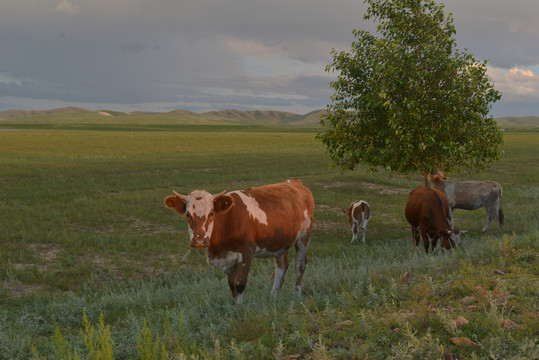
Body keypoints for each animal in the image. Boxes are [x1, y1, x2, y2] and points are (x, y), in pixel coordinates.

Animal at [165, 180, 316, 304]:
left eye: (212, 213)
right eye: (187, 214)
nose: (200, 240)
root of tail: (296, 182)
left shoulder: (246, 253)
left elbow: (240, 284)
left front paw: (239, 309)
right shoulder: (226, 259)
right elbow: (231, 285)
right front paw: (232, 307)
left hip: (304, 236)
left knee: (300, 264)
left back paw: (296, 295)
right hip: (279, 243)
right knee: (281, 266)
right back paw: (274, 296)